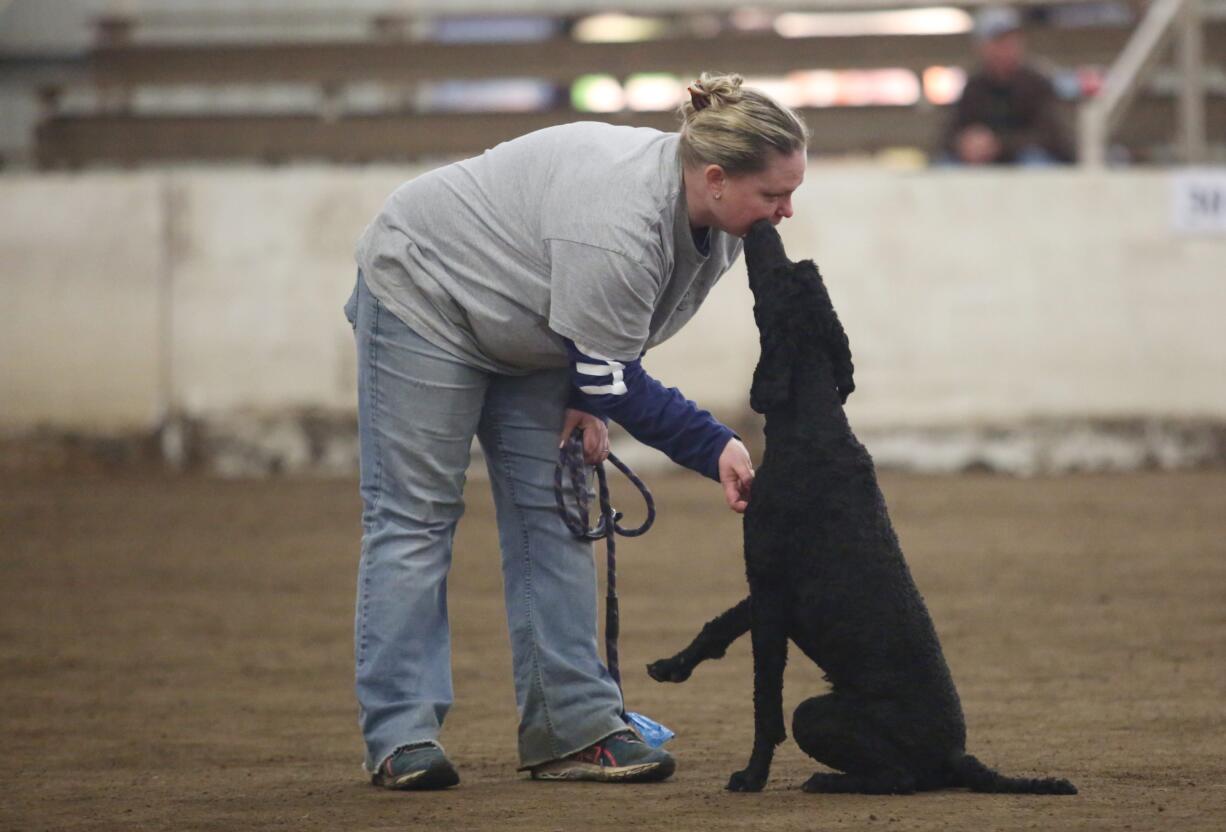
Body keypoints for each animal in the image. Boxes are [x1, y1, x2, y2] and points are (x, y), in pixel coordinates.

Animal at [647, 223, 1078, 798]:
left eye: (781, 277)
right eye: (803, 272)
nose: (763, 226)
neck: (813, 427)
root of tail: (957, 755)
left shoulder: (771, 590)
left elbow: (765, 701)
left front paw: (752, 775)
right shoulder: (766, 586)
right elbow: (720, 623)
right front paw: (673, 665)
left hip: (819, 714)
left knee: (897, 777)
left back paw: (824, 780)